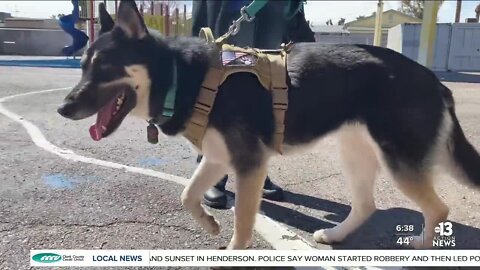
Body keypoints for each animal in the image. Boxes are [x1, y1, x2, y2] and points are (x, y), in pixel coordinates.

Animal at [58, 0, 478, 249]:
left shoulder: (249, 165)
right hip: (355, 154)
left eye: (104, 68)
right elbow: (187, 194)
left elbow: (244, 222)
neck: (180, 76)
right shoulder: (217, 159)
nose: (63, 108)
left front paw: (232, 248)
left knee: (438, 210)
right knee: (366, 205)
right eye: (83, 66)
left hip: (397, 161)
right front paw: (209, 223)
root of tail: (434, 80)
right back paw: (336, 234)